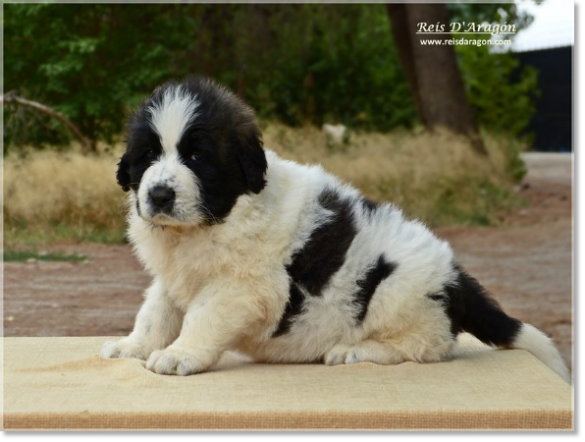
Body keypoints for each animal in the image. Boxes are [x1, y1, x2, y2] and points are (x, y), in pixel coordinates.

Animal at [101, 76, 572, 384]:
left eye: (197, 157)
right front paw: (133, 345)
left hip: (397, 290)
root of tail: (457, 278)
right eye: (147, 156)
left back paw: (356, 350)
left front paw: (180, 355)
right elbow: (156, 312)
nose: (160, 195)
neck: (212, 220)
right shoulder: (173, 276)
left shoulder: (241, 286)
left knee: (428, 346)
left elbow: (203, 316)